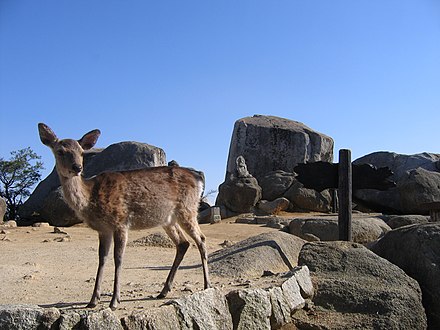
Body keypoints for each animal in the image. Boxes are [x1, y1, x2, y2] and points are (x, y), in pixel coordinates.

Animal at [37, 123, 211, 310]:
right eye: (60, 151)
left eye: (82, 152)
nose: (77, 167)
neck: (91, 199)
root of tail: (198, 178)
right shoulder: (103, 230)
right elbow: (102, 259)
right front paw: (92, 300)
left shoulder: (121, 221)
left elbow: (118, 258)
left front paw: (114, 301)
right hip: (168, 219)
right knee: (183, 243)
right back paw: (163, 291)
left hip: (188, 209)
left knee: (201, 239)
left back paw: (207, 285)